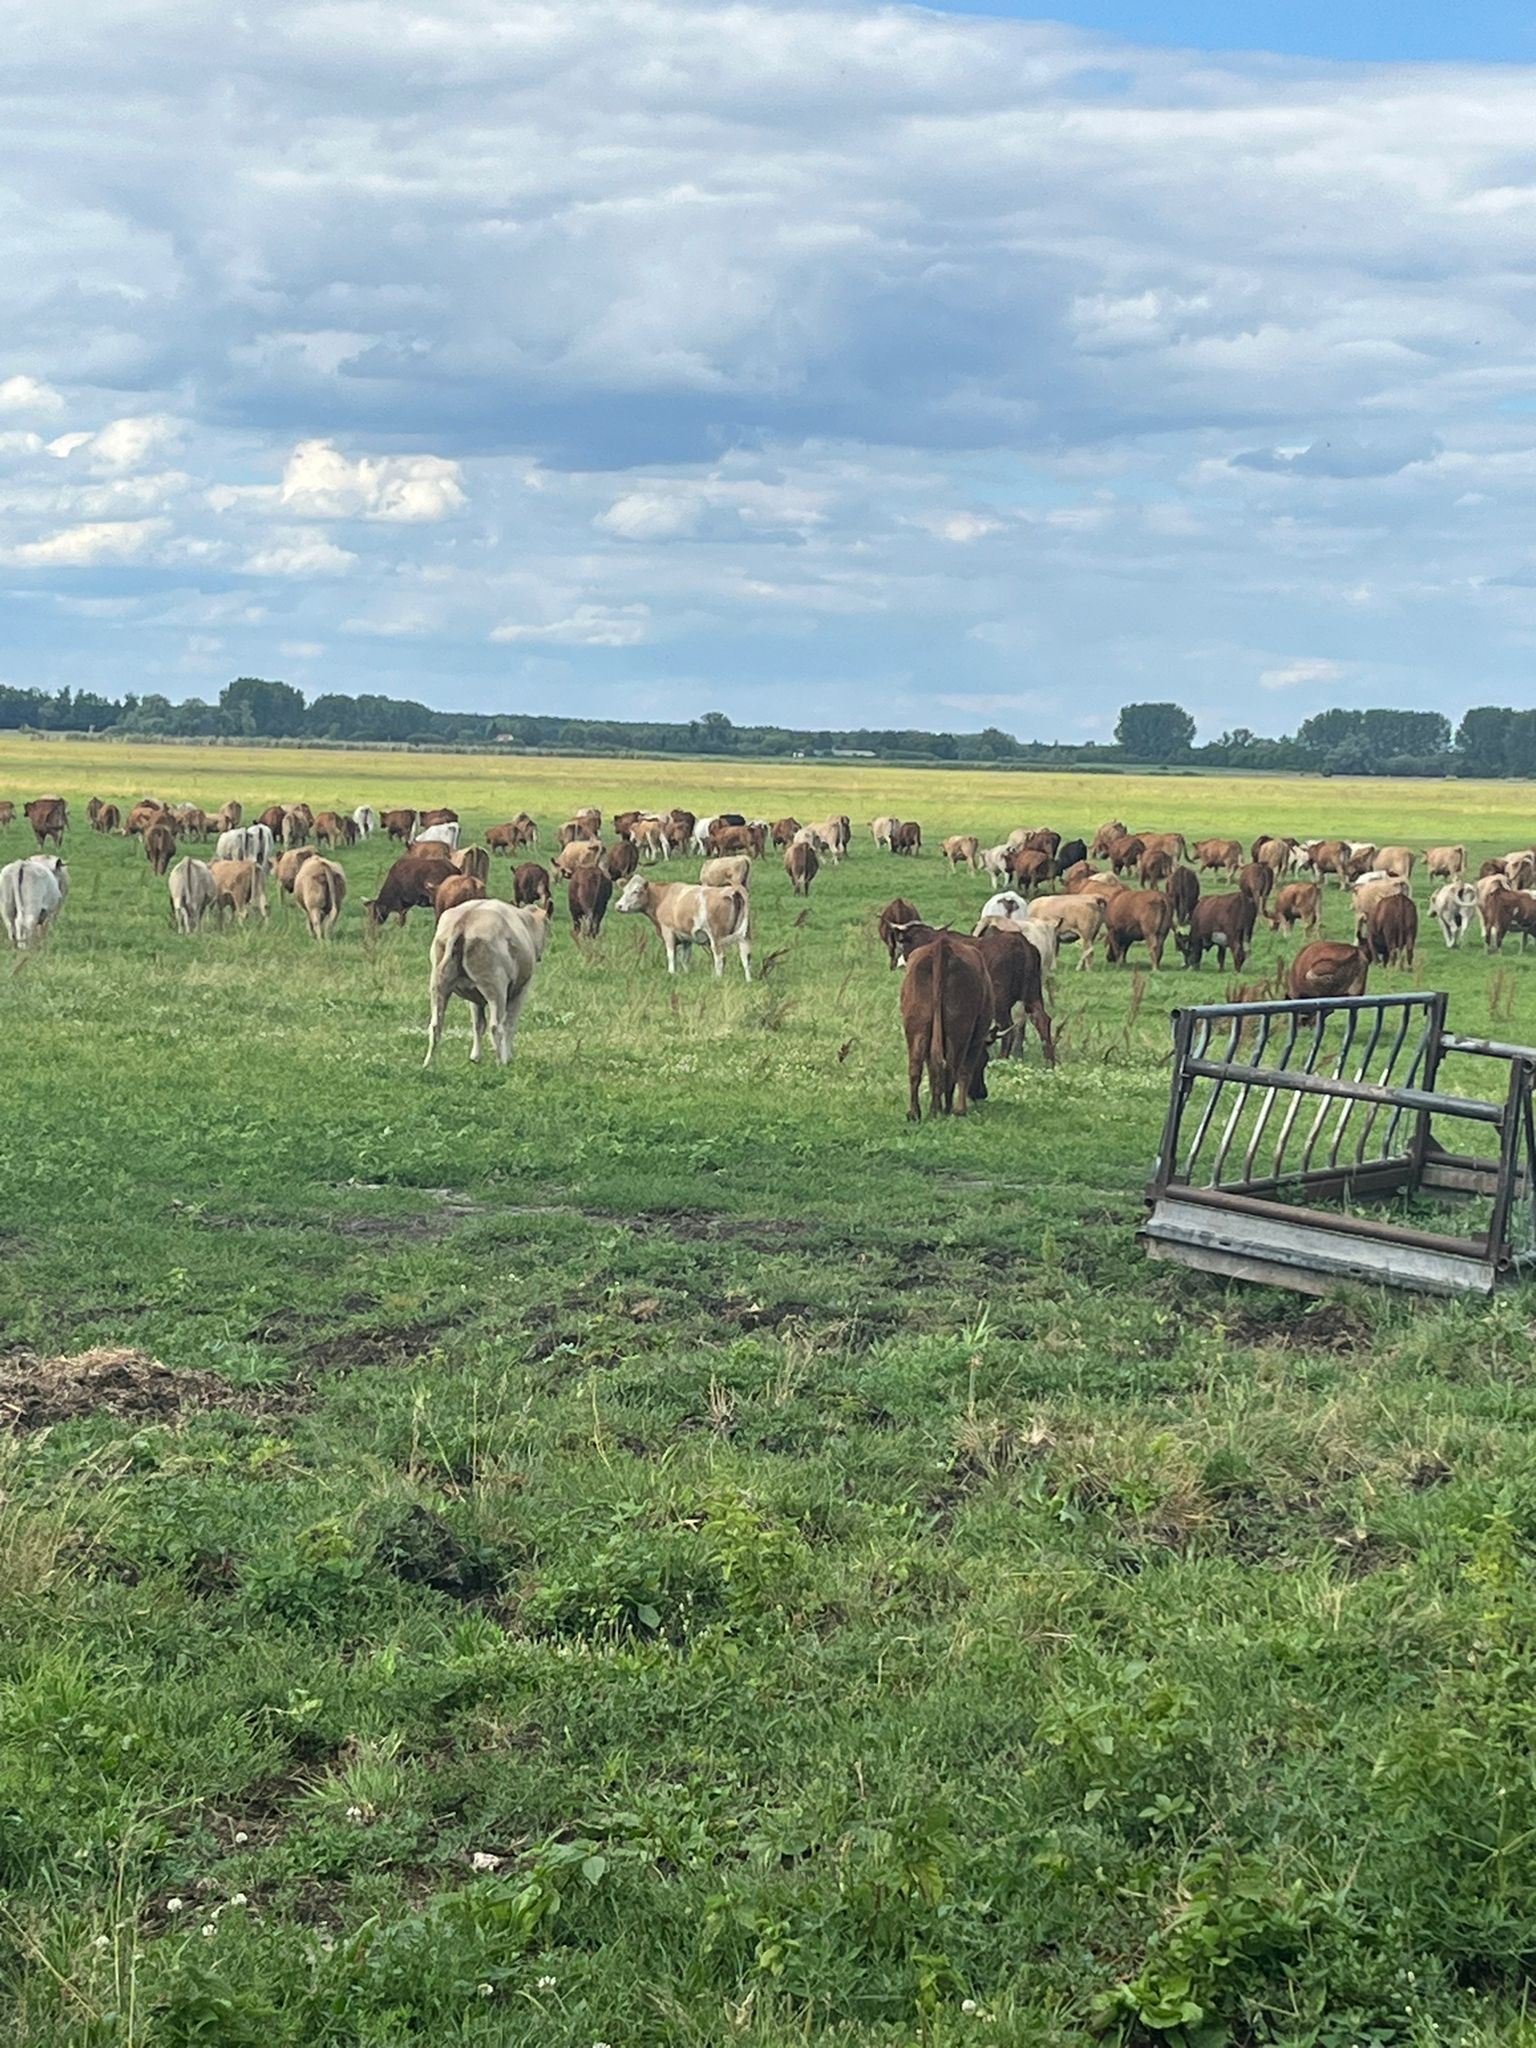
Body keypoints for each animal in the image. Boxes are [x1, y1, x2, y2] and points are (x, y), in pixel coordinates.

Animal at [423, 901, 557, 1073]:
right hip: (495, 988)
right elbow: (509, 1024)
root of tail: (464, 922)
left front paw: (475, 1057)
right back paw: (501, 1063)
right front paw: (508, 1057)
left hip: (438, 985)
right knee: (496, 1026)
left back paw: (429, 1064)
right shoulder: (521, 989)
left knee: (435, 1025)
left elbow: (478, 1025)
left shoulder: (473, 996)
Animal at [897, 933, 991, 1122]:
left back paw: (917, 1113)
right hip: (958, 1032)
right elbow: (966, 1069)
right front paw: (959, 1109)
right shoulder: (977, 1038)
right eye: (985, 1061)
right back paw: (949, 1110)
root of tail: (942, 946)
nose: (982, 1093)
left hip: (917, 1027)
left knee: (918, 1068)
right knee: (952, 1069)